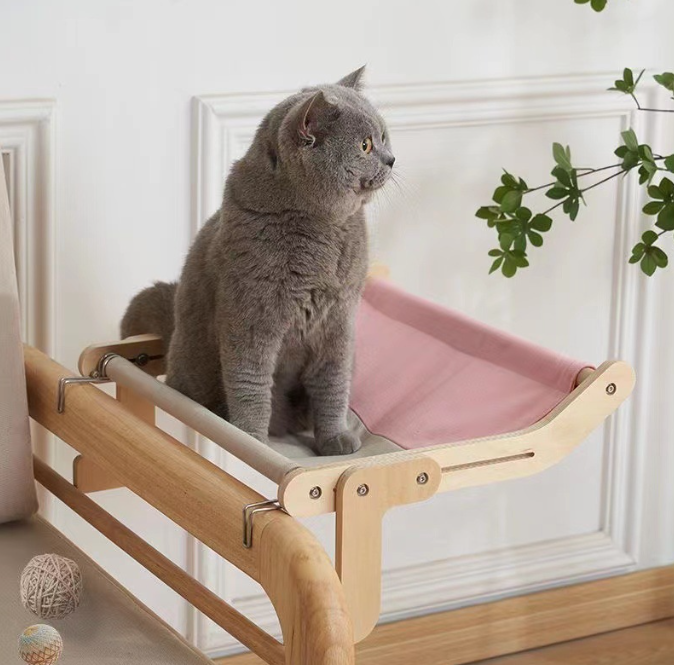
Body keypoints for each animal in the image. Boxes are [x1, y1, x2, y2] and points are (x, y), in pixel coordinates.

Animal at [121, 66, 394, 456]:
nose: (391, 159)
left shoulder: (339, 322)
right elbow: (250, 380)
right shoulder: (251, 313)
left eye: (384, 137)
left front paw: (336, 438)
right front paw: (251, 438)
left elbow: (332, 385)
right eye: (365, 145)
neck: (323, 229)